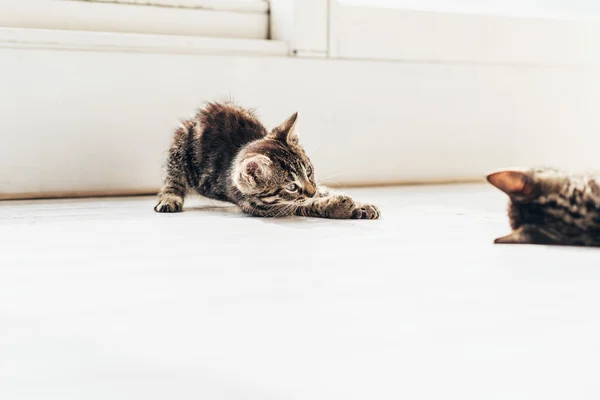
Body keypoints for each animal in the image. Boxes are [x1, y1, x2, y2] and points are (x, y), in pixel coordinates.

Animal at [155, 100, 380, 219]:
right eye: (291, 187)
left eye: (308, 171)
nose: (311, 191)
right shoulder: (263, 207)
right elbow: (305, 205)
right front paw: (337, 205)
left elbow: (323, 190)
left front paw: (362, 205)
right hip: (179, 144)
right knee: (173, 179)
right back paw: (169, 198)